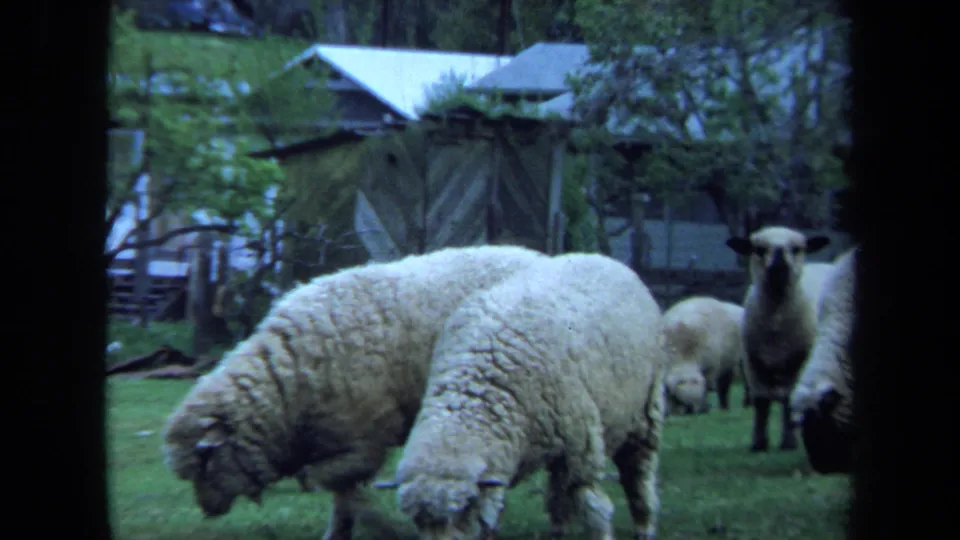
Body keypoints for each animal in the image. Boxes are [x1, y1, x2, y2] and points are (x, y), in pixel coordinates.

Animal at [161, 245, 547, 540]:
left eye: (205, 463)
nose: (206, 510)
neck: (287, 383)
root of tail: (538, 256)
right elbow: (340, 495)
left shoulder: (364, 441)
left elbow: (327, 486)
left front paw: (370, 525)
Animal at [375, 253, 667, 540]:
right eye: (418, 522)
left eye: (463, 510)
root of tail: (606, 259)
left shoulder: (580, 446)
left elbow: (592, 505)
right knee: (560, 493)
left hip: (645, 410)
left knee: (638, 471)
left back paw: (645, 523)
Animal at [725, 226, 832, 452]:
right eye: (759, 249)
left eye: (797, 248)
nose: (780, 263)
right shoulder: (753, 363)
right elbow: (761, 402)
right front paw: (758, 443)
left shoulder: (800, 361)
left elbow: (789, 401)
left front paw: (789, 442)